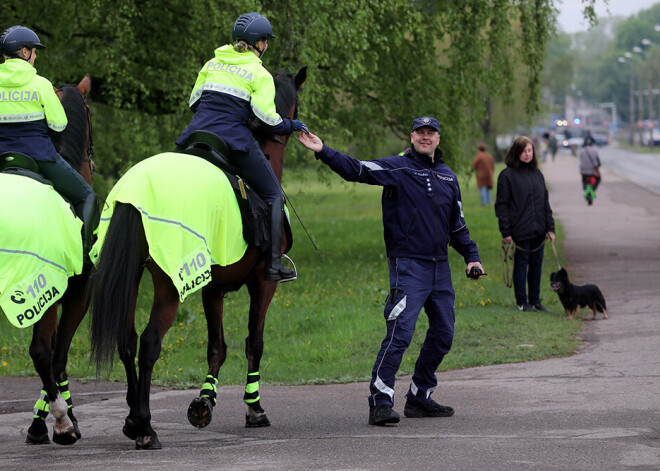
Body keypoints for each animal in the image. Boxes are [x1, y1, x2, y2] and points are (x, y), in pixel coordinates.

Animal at [0, 74, 95, 446]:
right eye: (91, 113)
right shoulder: (74, 296)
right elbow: (57, 356)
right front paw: (61, 421)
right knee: (43, 352)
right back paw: (62, 420)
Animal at [89, 66, 306, 450]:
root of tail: (135, 190)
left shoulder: (212, 289)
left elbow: (216, 346)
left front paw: (205, 401)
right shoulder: (263, 283)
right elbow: (254, 343)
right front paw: (254, 408)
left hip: (131, 276)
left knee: (126, 341)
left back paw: (132, 418)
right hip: (169, 284)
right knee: (148, 343)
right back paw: (145, 426)